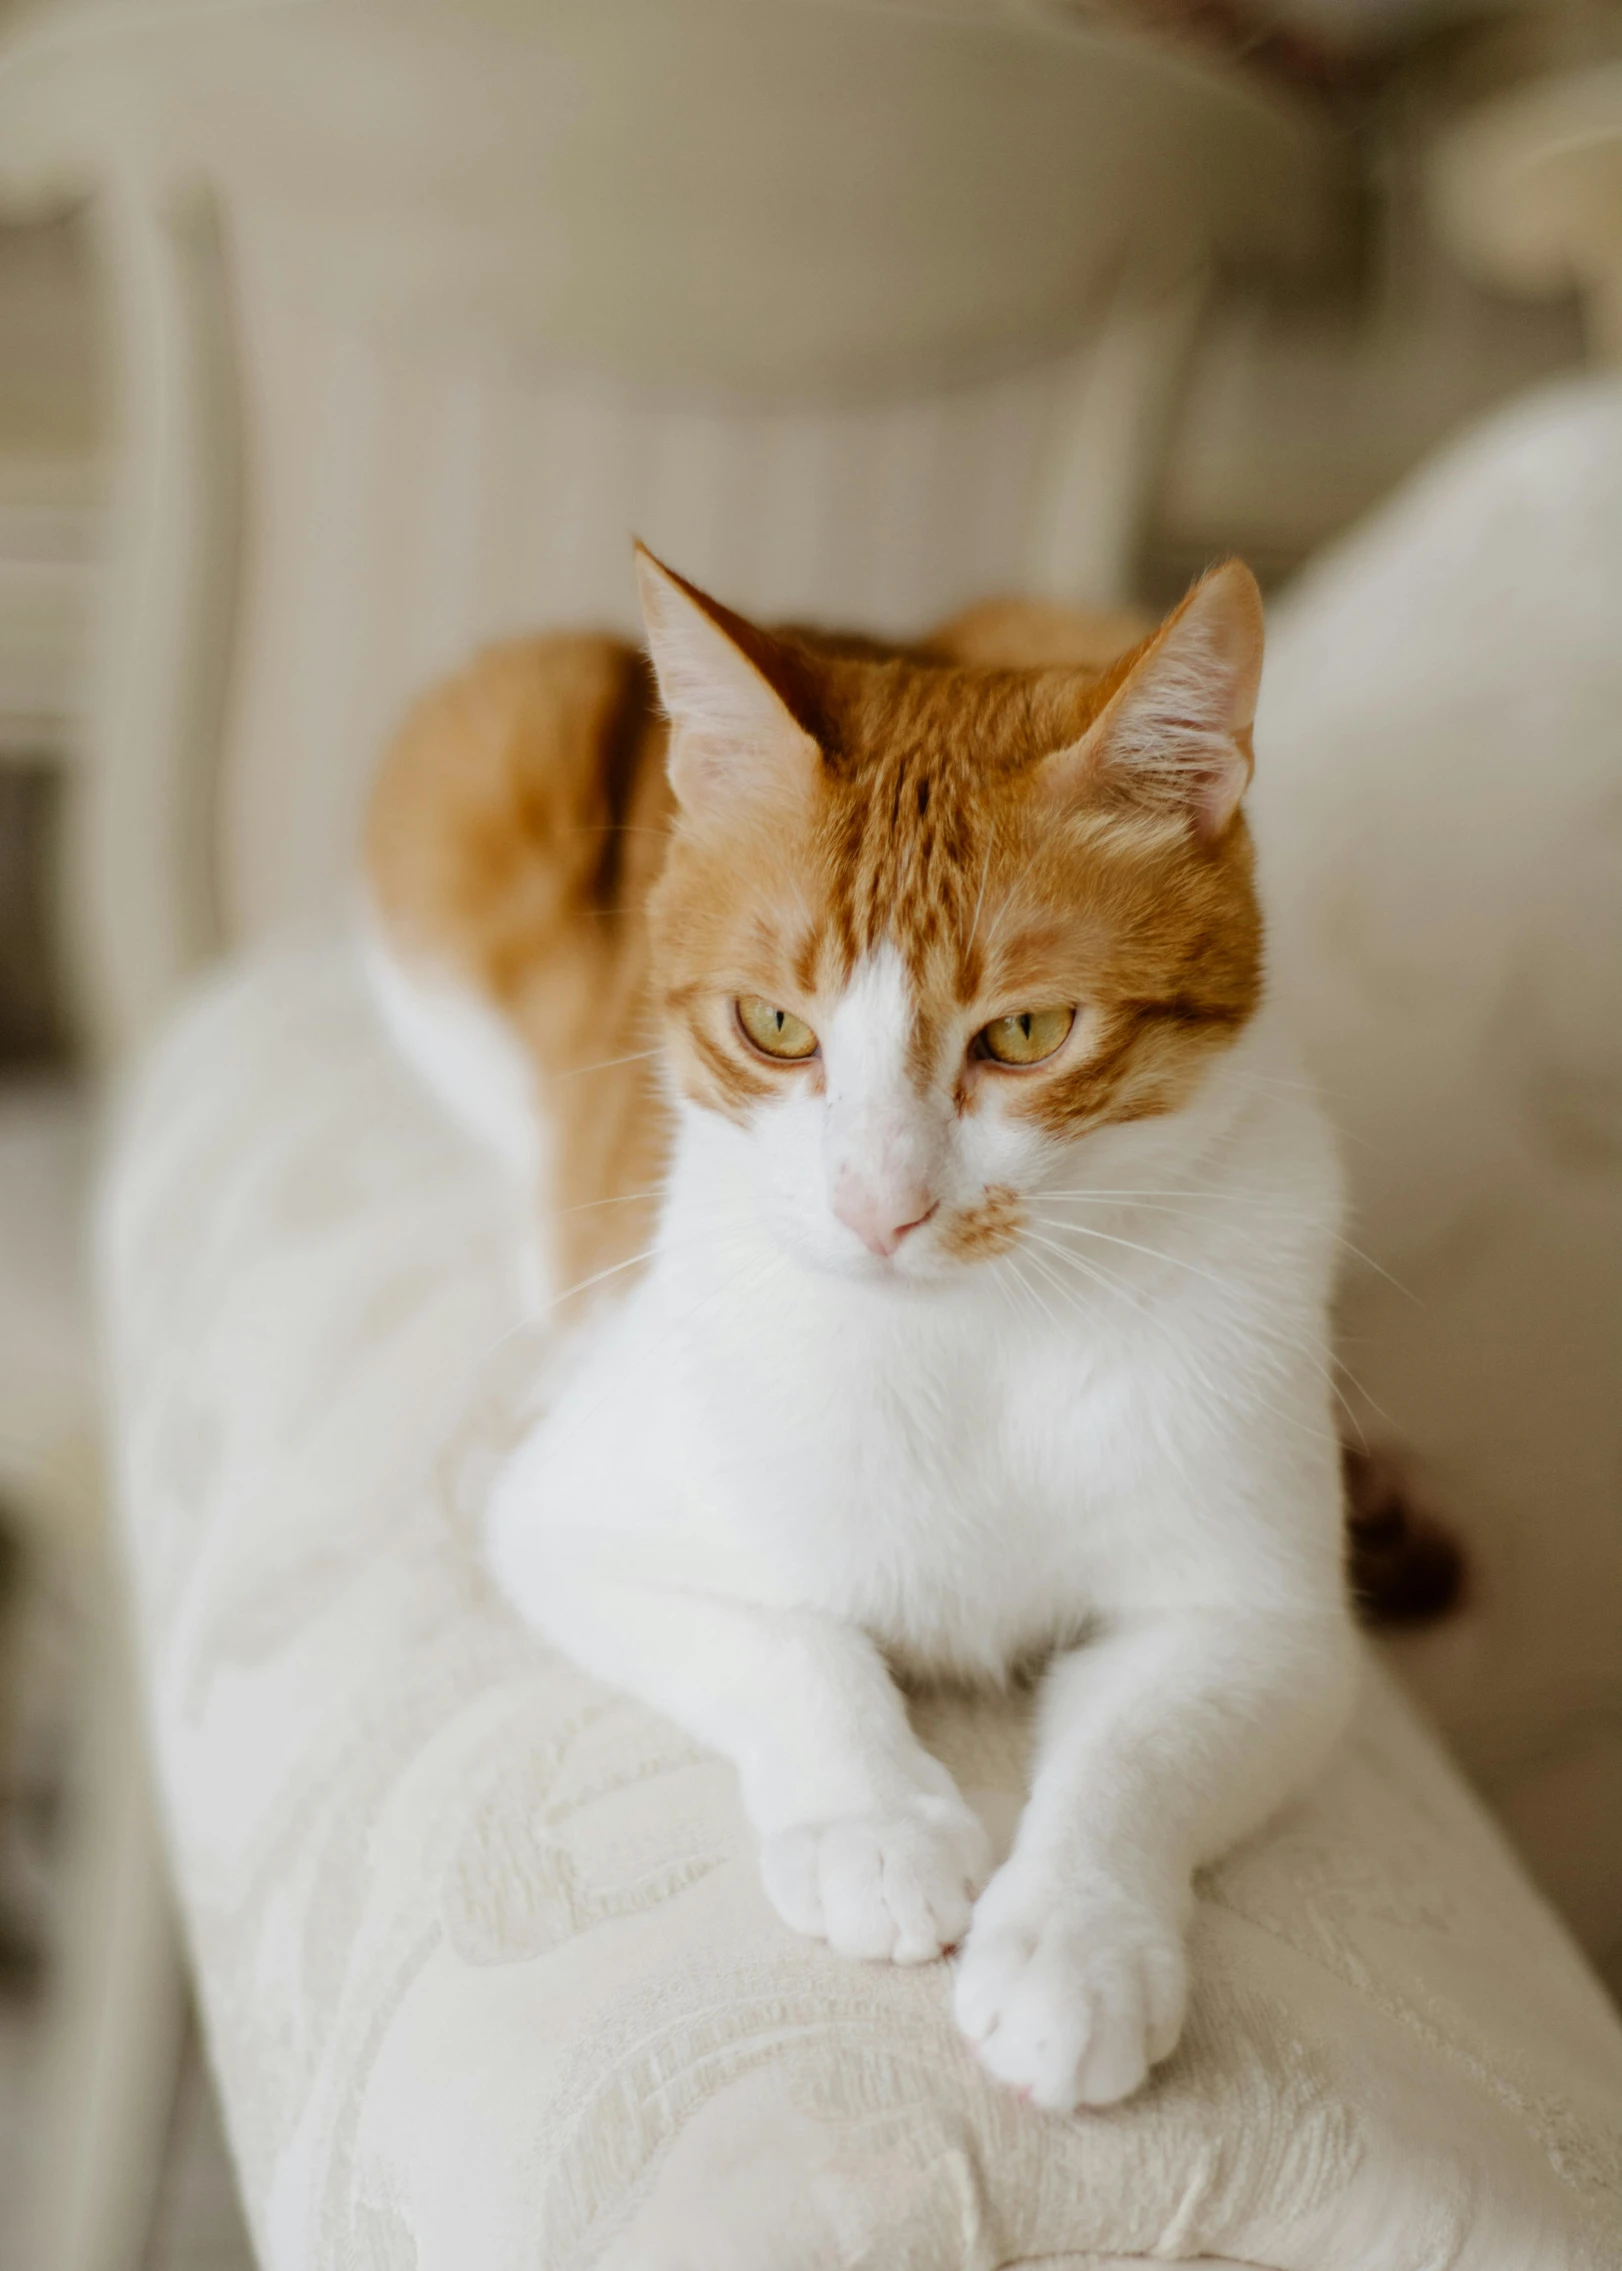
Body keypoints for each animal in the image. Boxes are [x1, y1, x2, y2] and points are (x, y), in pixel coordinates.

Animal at [363, 549, 1353, 2107]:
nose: (879, 1206)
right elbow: (787, 1646)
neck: (969, 1348)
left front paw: (1072, 1944)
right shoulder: (571, 1520)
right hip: (483, 763)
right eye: (775, 1025)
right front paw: (869, 1828)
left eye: (1025, 1035)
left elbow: (1139, 1755)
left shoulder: (1263, 1626)